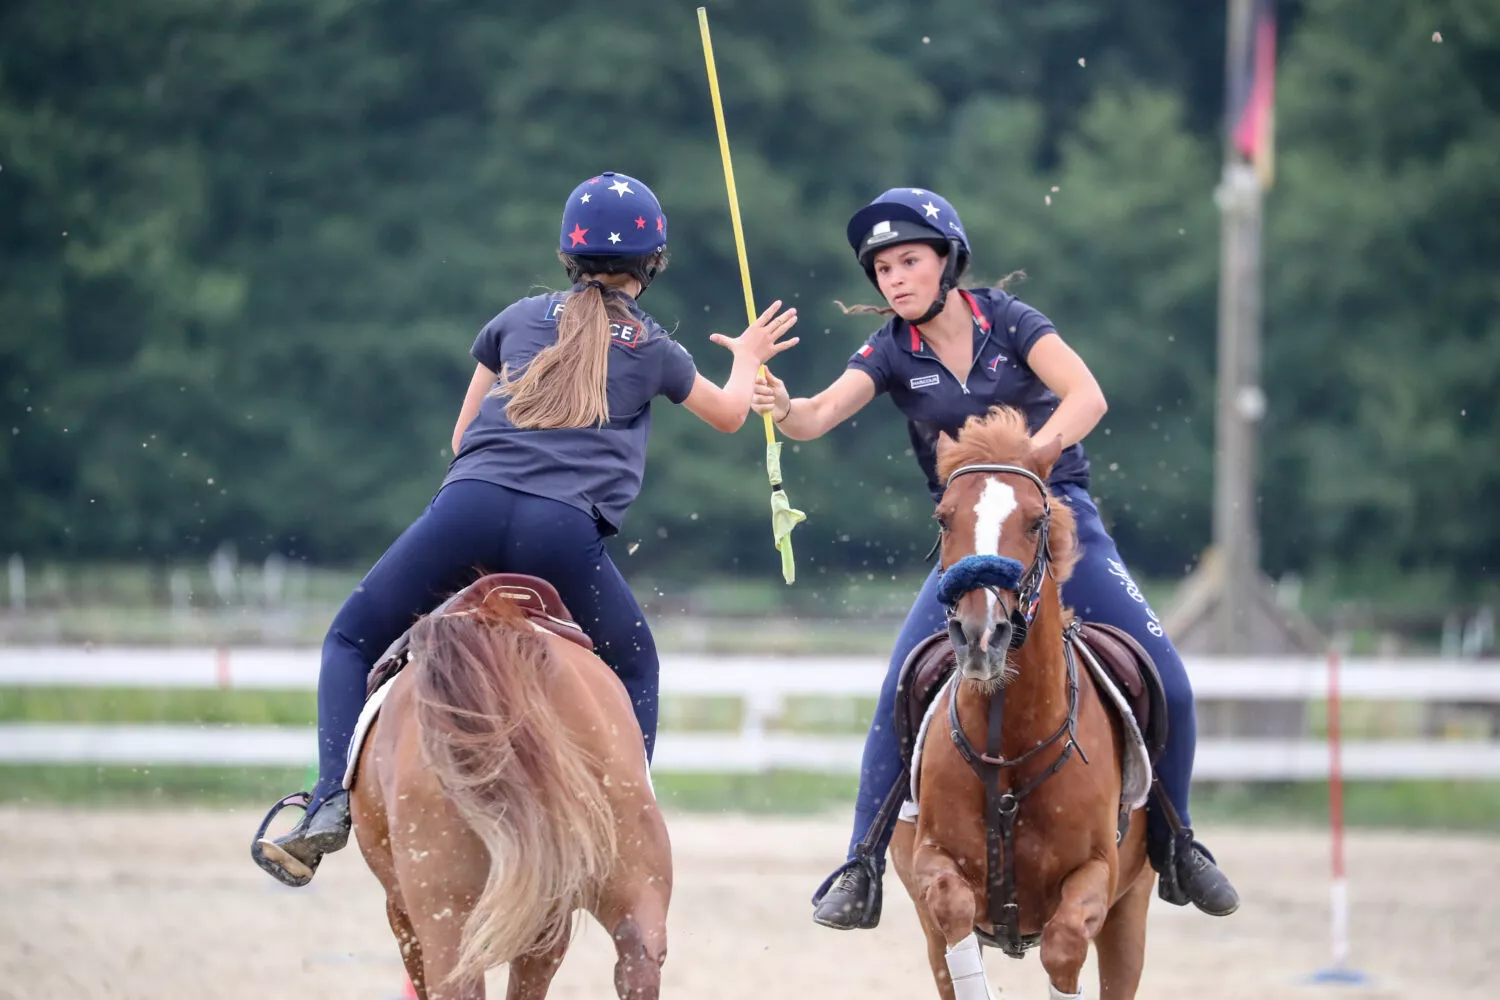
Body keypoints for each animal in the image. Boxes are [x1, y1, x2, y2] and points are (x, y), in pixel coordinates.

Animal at [882, 407, 1152, 1000]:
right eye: (944, 519)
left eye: (1034, 522)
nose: (980, 635)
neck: (1008, 742)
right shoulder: (932, 863)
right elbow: (952, 906)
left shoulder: (1098, 875)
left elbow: (1065, 942)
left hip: (1132, 910)